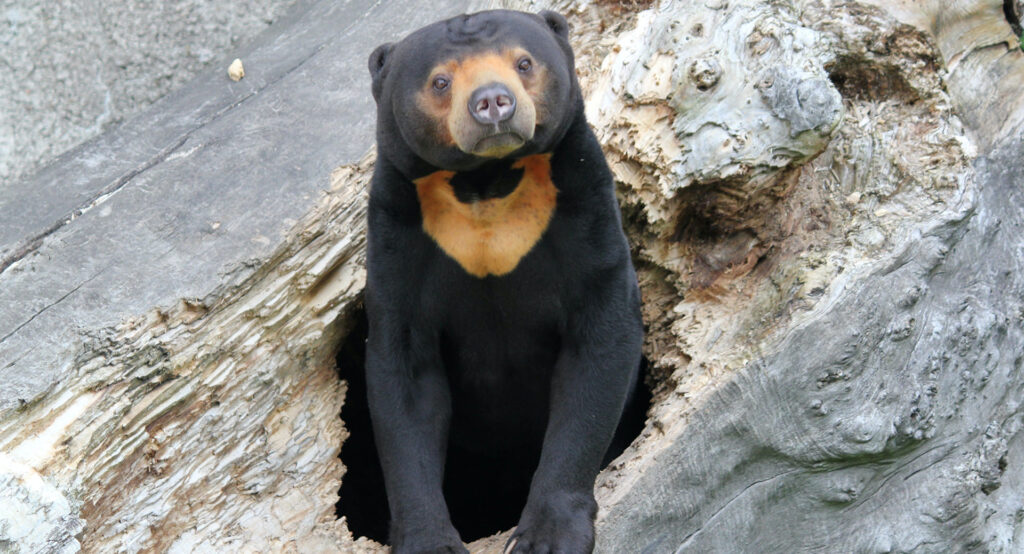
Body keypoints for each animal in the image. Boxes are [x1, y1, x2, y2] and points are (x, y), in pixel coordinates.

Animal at [365, 9, 643, 553]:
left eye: (524, 62)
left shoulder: (582, 204)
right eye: (441, 81)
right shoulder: (398, 237)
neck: (486, 185)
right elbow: (404, 385)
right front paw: (429, 541)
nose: (493, 101)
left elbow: (598, 349)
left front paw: (549, 535)